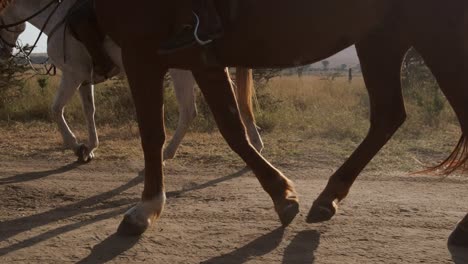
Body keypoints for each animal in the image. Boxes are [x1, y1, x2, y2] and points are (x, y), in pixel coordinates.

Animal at [0, 0, 264, 162]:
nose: (4, 54)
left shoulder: (72, 74)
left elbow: (55, 109)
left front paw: (76, 146)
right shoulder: (84, 78)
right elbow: (89, 111)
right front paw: (90, 148)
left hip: (182, 71)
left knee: (190, 111)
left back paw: (167, 153)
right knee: (236, 102)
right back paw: (255, 142)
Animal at [93, 0, 466, 254]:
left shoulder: (141, 52)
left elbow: (152, 133)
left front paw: (146, 208)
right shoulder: (201, 58)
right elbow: (231, 127)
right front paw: (282, 195)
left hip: (437, 34)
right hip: (381, 36)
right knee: (388, 115)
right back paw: (328, 198)